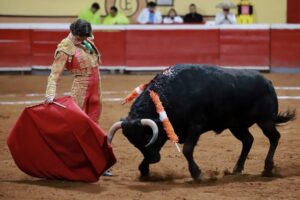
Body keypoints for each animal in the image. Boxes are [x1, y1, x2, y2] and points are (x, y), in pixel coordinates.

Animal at [108, 64, 296, 180]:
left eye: (147, 136)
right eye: (133, 142)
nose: (153, 159)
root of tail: (268, 82)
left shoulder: (195, 126)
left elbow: (187, 149)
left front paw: (197, 174)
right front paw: (144, 169)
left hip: (265, 121)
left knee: (274, 138)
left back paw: (267, 168)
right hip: (236, 125)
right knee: (248, 141)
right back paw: (237, 169)